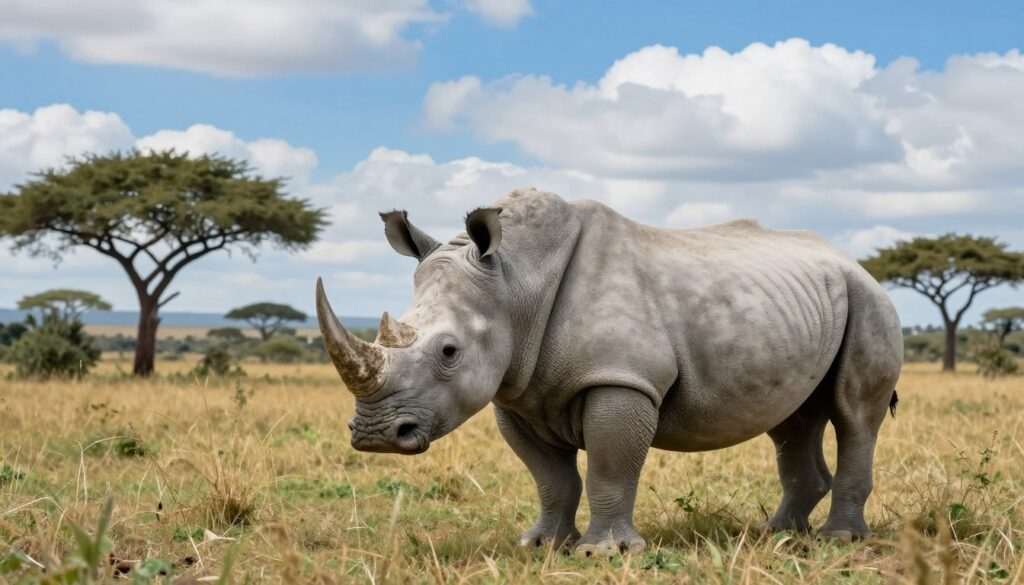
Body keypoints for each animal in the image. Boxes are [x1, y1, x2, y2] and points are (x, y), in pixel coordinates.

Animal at [315, 188, 902, 557]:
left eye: (449, 352)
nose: (374, 436)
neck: (515, 284)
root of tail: (850, 259)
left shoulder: (620, 378)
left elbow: (608, 467)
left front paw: (606, 553)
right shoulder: (517, 390)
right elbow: (551, 477)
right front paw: (541, 545)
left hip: (870, 300)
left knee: (854, 414)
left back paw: (839, 542)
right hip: (802, 307)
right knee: (791, 420)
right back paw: (776, 537)